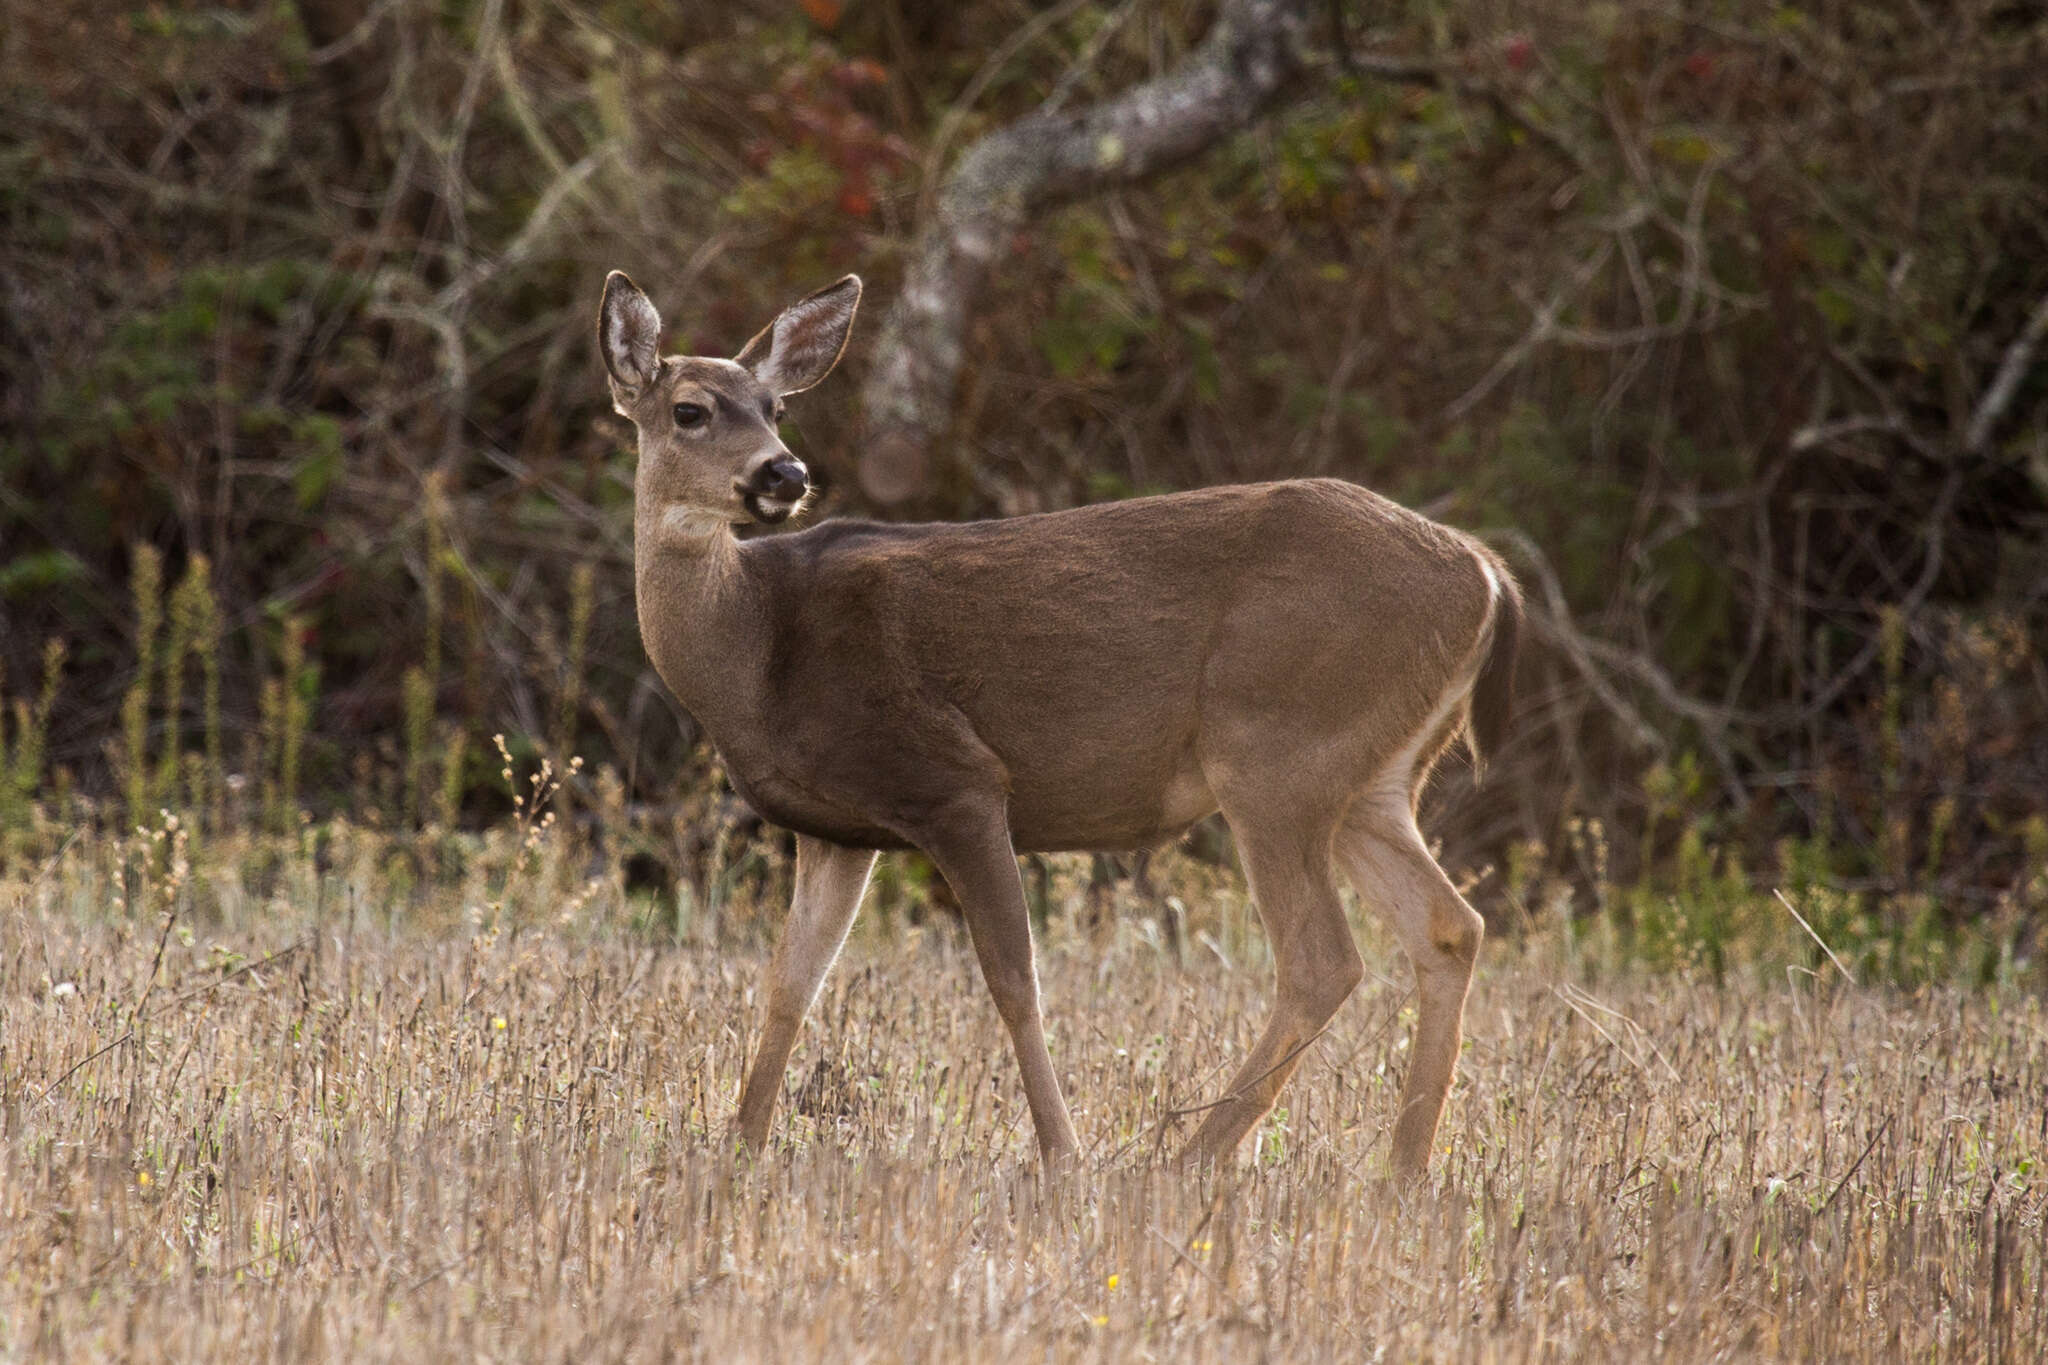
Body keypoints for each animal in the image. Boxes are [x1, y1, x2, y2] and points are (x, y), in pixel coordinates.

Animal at [593, 270, 1523, 1186]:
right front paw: (740, 1143)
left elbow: (1013, 978)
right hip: (1371, 779)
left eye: (774, 407)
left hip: (1276, 752)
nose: (784, 472)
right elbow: (792, 982)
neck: (755, 649)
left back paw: (1185, 1156)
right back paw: (1401, 1169)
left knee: (1323, 956)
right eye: (691, 409)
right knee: (1449, 929)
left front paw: (1062, 1152)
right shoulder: (837, 829)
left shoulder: (955, 780)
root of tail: (1486, 575)